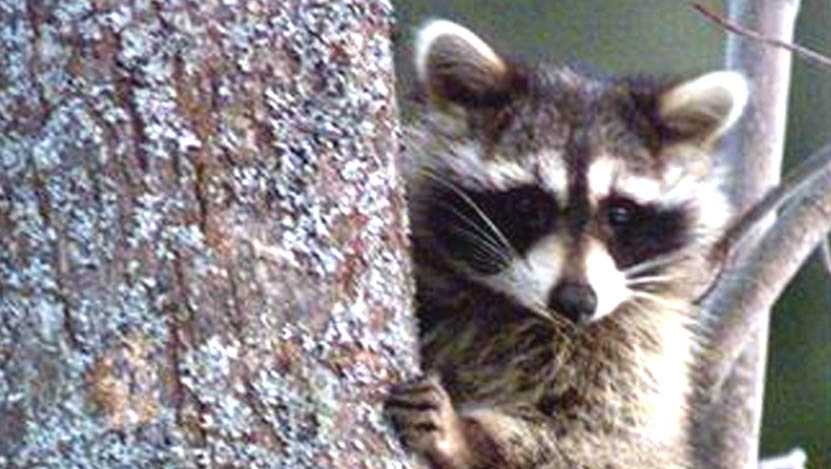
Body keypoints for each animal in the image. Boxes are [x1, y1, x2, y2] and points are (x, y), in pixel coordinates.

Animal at [385, 20, 749, 469]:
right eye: (528, 205)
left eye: (620, 214)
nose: (576, 301)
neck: (516, 311)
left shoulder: (641, 349)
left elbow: (599, 439)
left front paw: (469, 438)